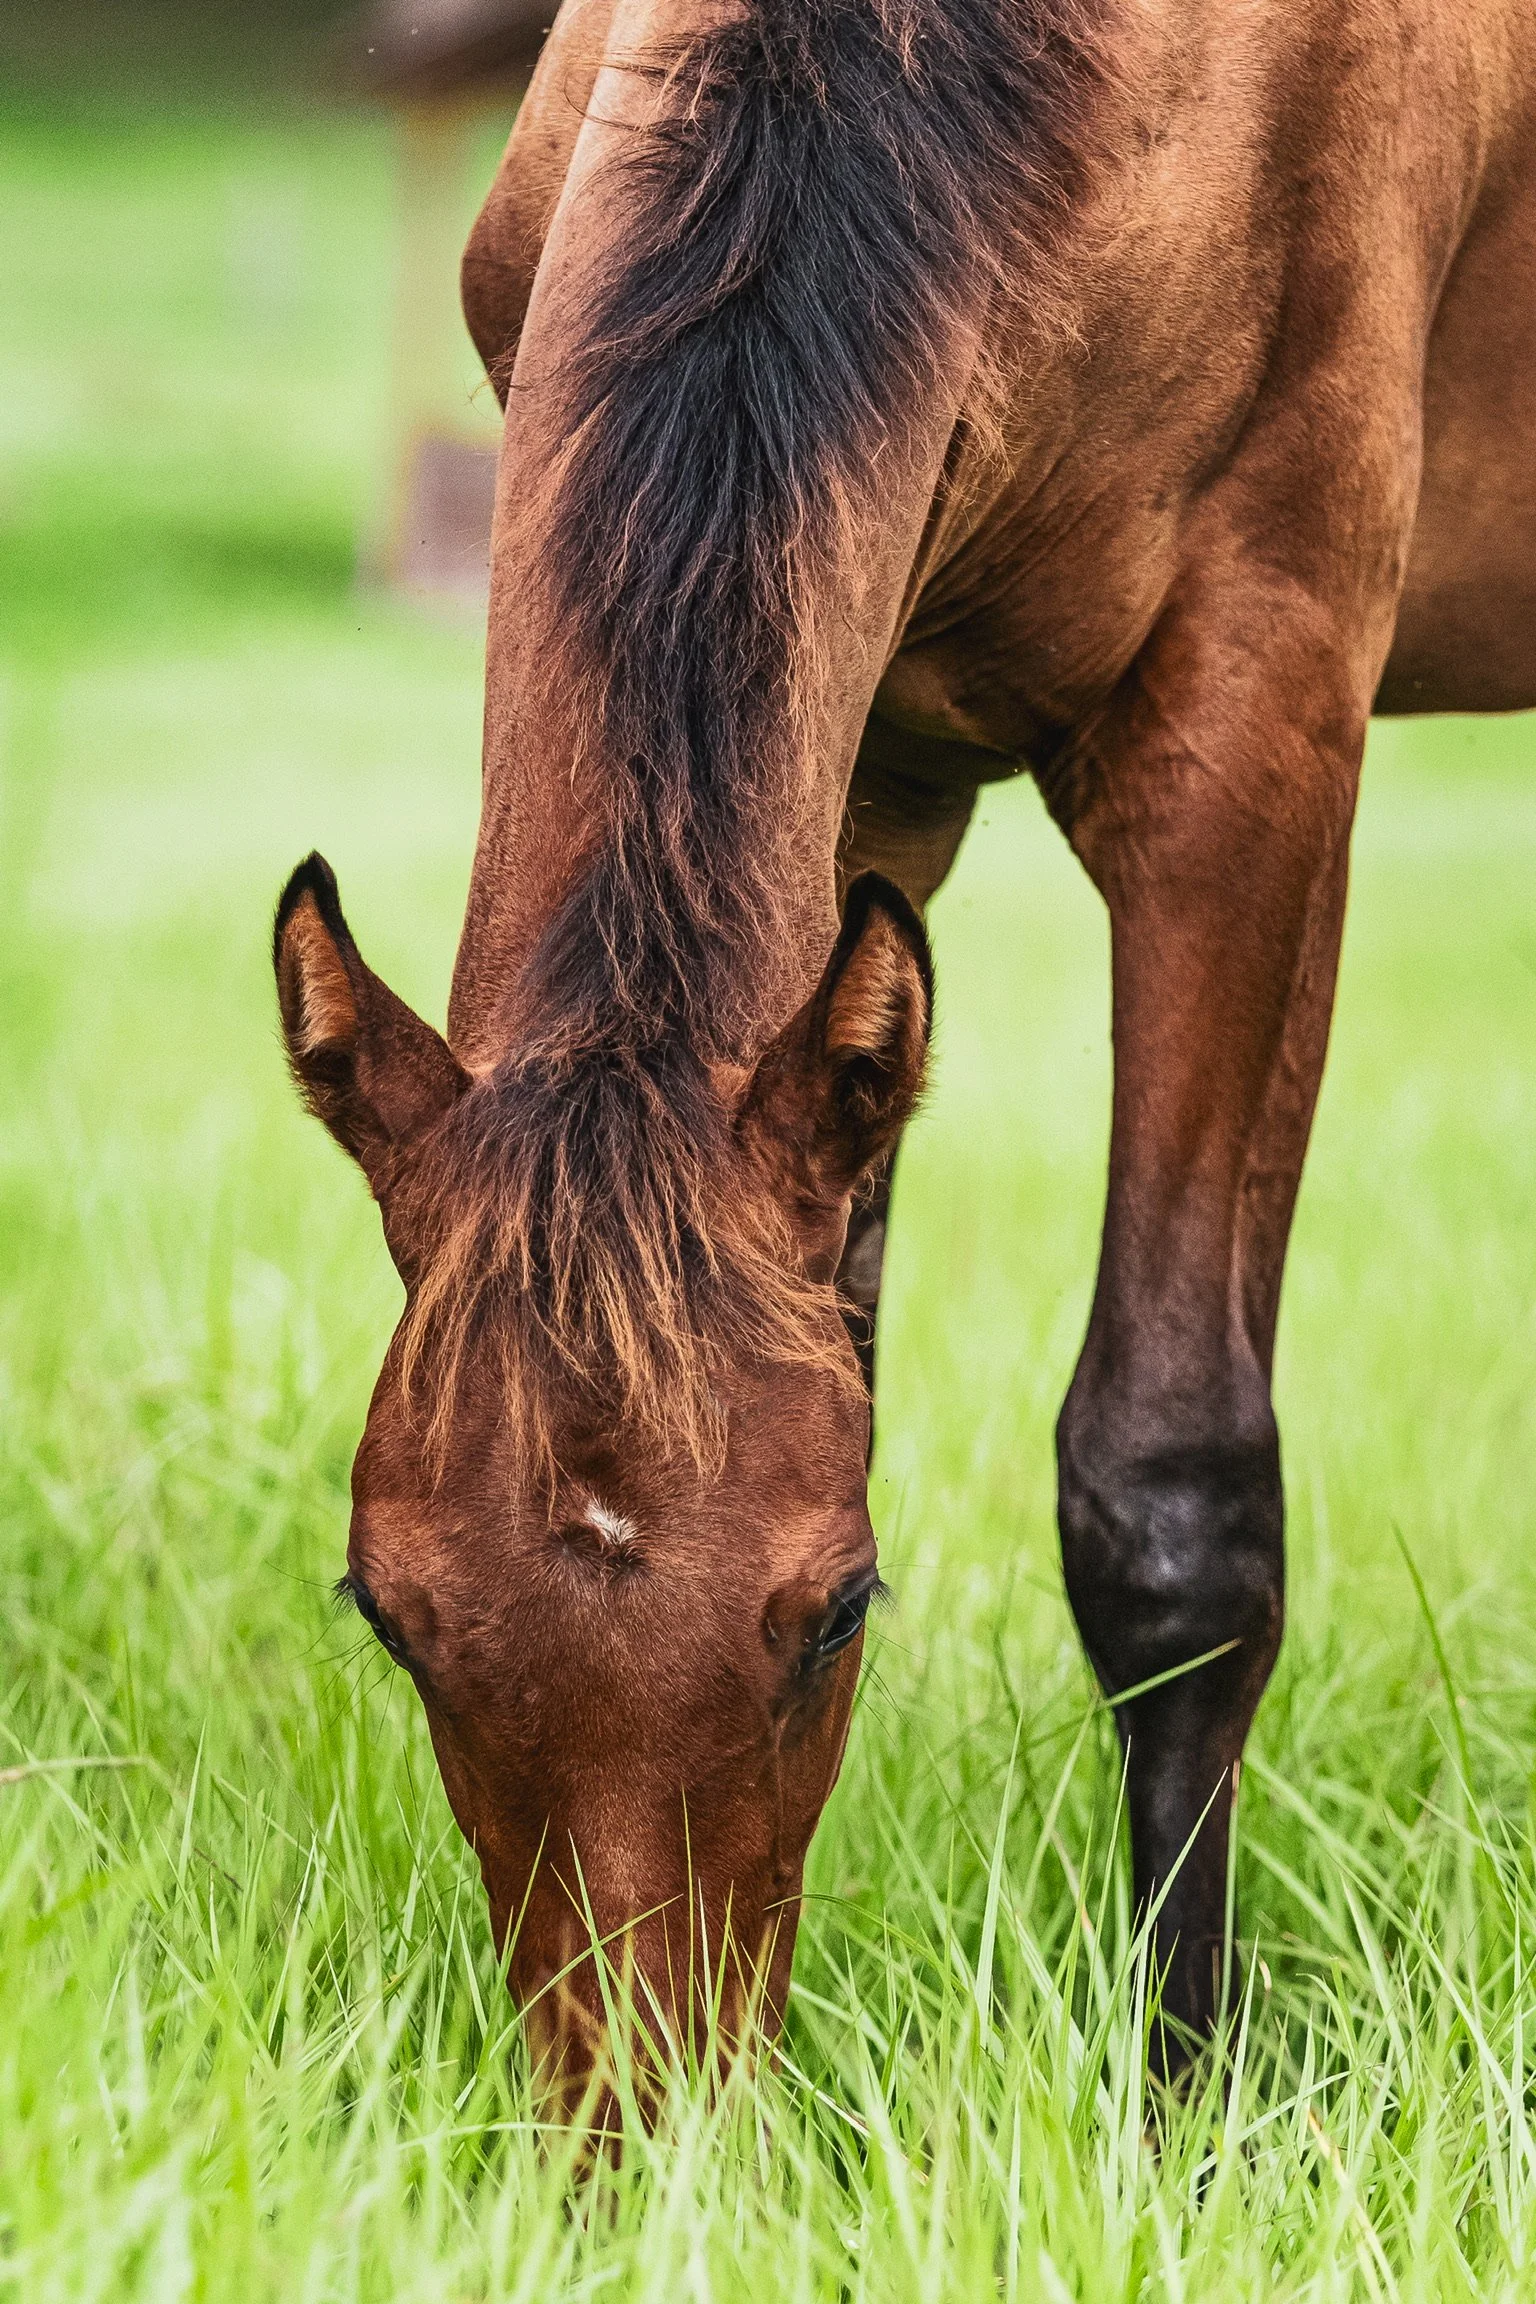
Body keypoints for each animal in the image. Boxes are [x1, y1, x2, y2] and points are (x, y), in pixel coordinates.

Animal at [274, 0, 1536, 2104]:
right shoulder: (877, 790)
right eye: (397, 1618)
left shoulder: (1252, 729)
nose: (647, 2139)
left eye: (830, 1609)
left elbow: (1171, 1491)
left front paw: (1184, 2094)